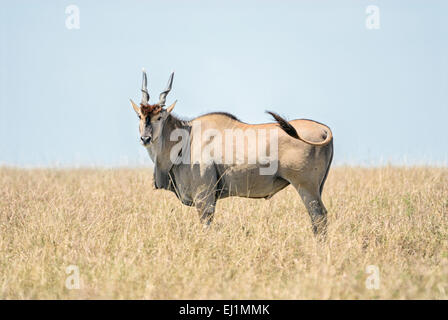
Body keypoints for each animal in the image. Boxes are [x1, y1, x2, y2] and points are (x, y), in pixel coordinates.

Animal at [130, 69, 332, 235]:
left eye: (160, 117)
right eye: (139, 116)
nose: (145, 138)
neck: (186, 137)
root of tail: (324, 129)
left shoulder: (204, 198)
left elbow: (206, 226)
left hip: (305, 186)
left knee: (319, 217)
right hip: (318, 187)